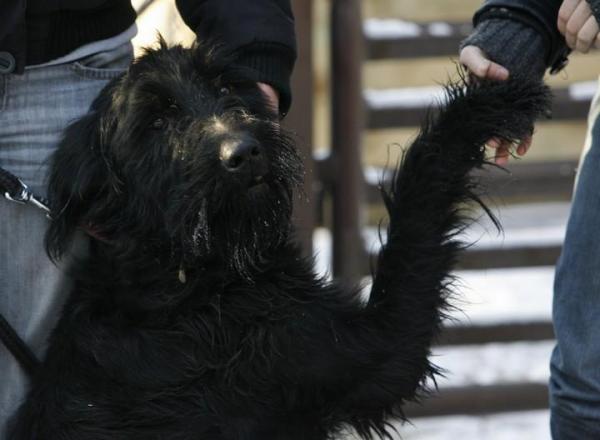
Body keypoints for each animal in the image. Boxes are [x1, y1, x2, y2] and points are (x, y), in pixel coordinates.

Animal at [8, 42, 548, 440]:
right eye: (156, 123)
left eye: (225, 85)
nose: (243, 152)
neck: (183, 280)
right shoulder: (358, 351)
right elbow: (421, 188)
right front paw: (486, 107)